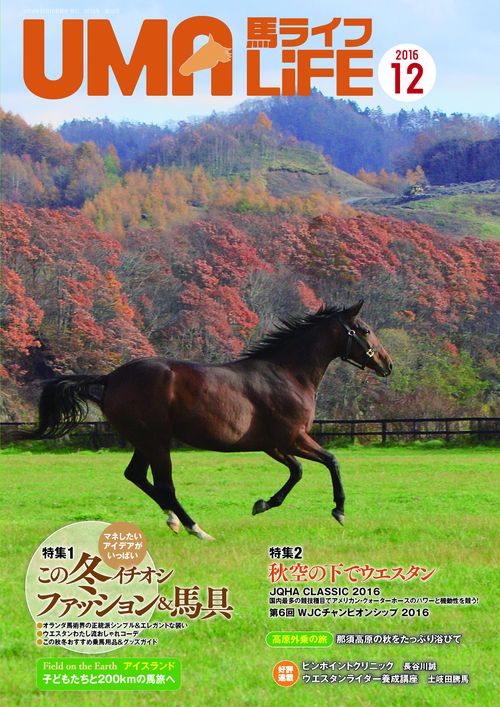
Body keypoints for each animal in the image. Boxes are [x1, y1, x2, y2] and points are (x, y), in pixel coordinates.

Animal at [15, 300, 392, 540]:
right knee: (164, 485)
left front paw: (263, 504)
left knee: (137, 476)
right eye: (364, 329)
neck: (286, 374)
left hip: (145, 441)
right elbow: (332, 461)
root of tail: (110, 378)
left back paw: (173, 520)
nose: (387, 364)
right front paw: (339, 510)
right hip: (156, 441)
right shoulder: (292, 438)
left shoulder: (273, 445)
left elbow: (297, 471)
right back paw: (196, 528)